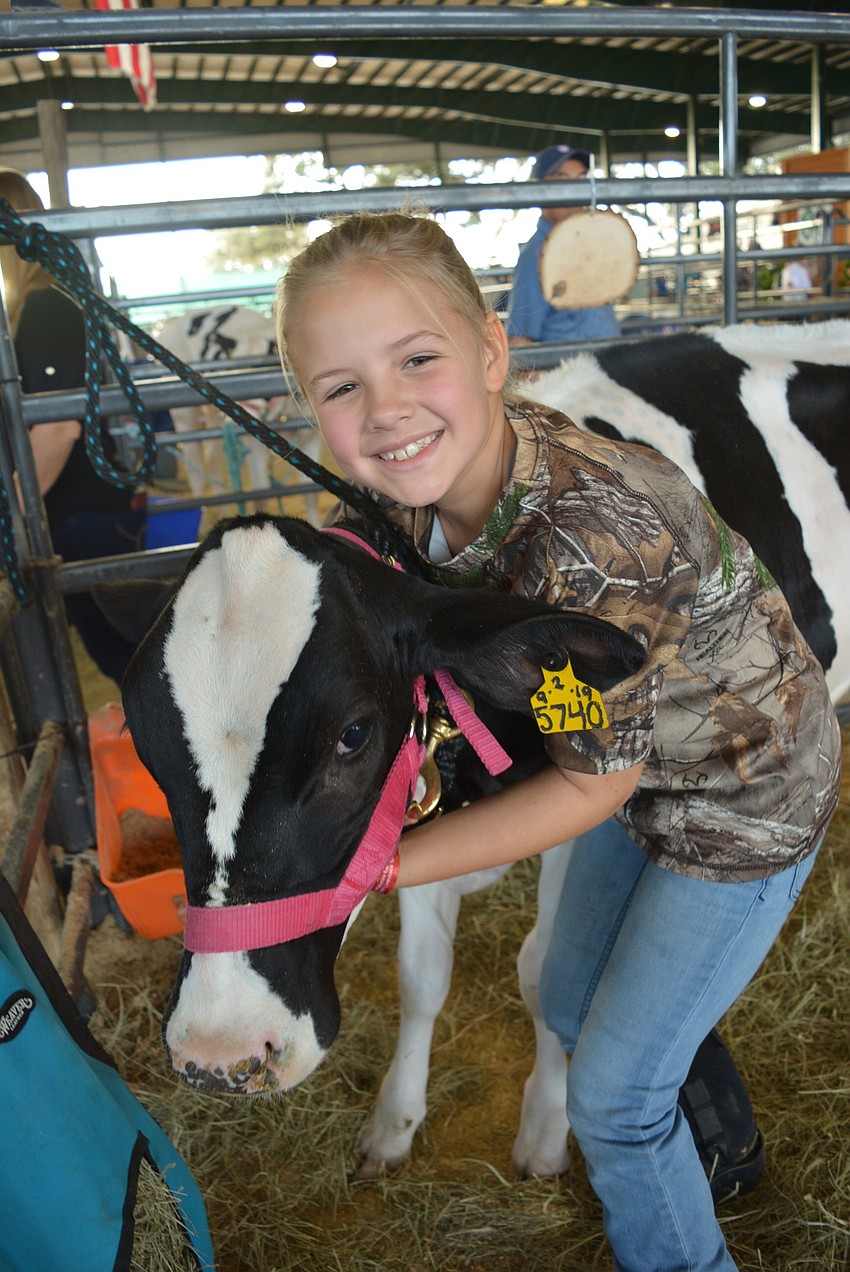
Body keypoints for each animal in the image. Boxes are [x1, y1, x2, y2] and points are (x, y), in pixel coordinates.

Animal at [155, 304, 324, 532]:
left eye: (259, 369)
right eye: (234, 369)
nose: (243, 411)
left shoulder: (312, 435)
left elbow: (310, 492)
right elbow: (261, 490)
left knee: (214, 462)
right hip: (183, 416)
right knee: (195, 471)